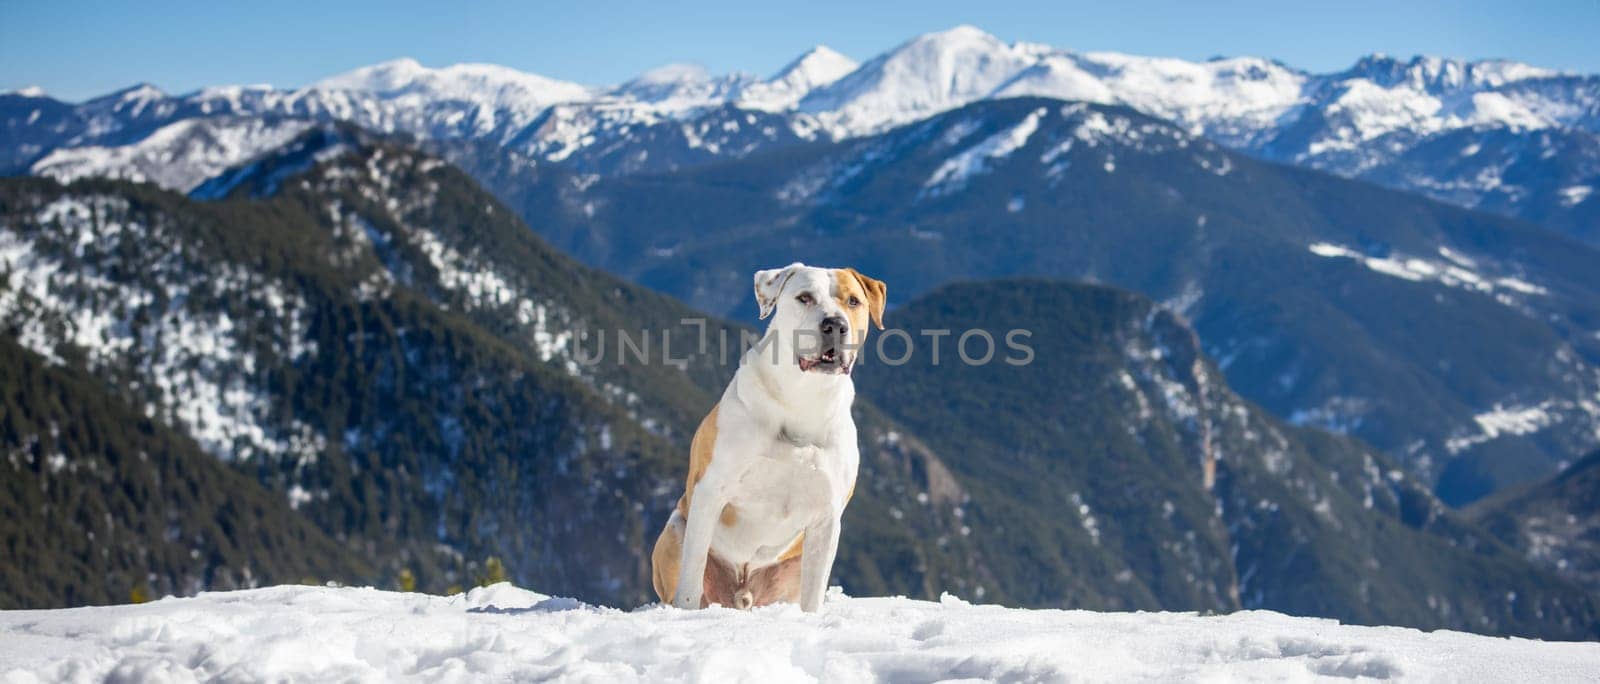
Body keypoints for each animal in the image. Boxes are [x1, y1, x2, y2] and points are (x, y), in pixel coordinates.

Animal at [656, 260, 896, 610]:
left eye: (853, 301)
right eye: (804, 297)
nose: (835, 325)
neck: (802, 400)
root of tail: (742, 591)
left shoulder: (826, 517)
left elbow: (814, 593)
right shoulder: (710, 491)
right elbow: (692, 571)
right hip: (676, 529)